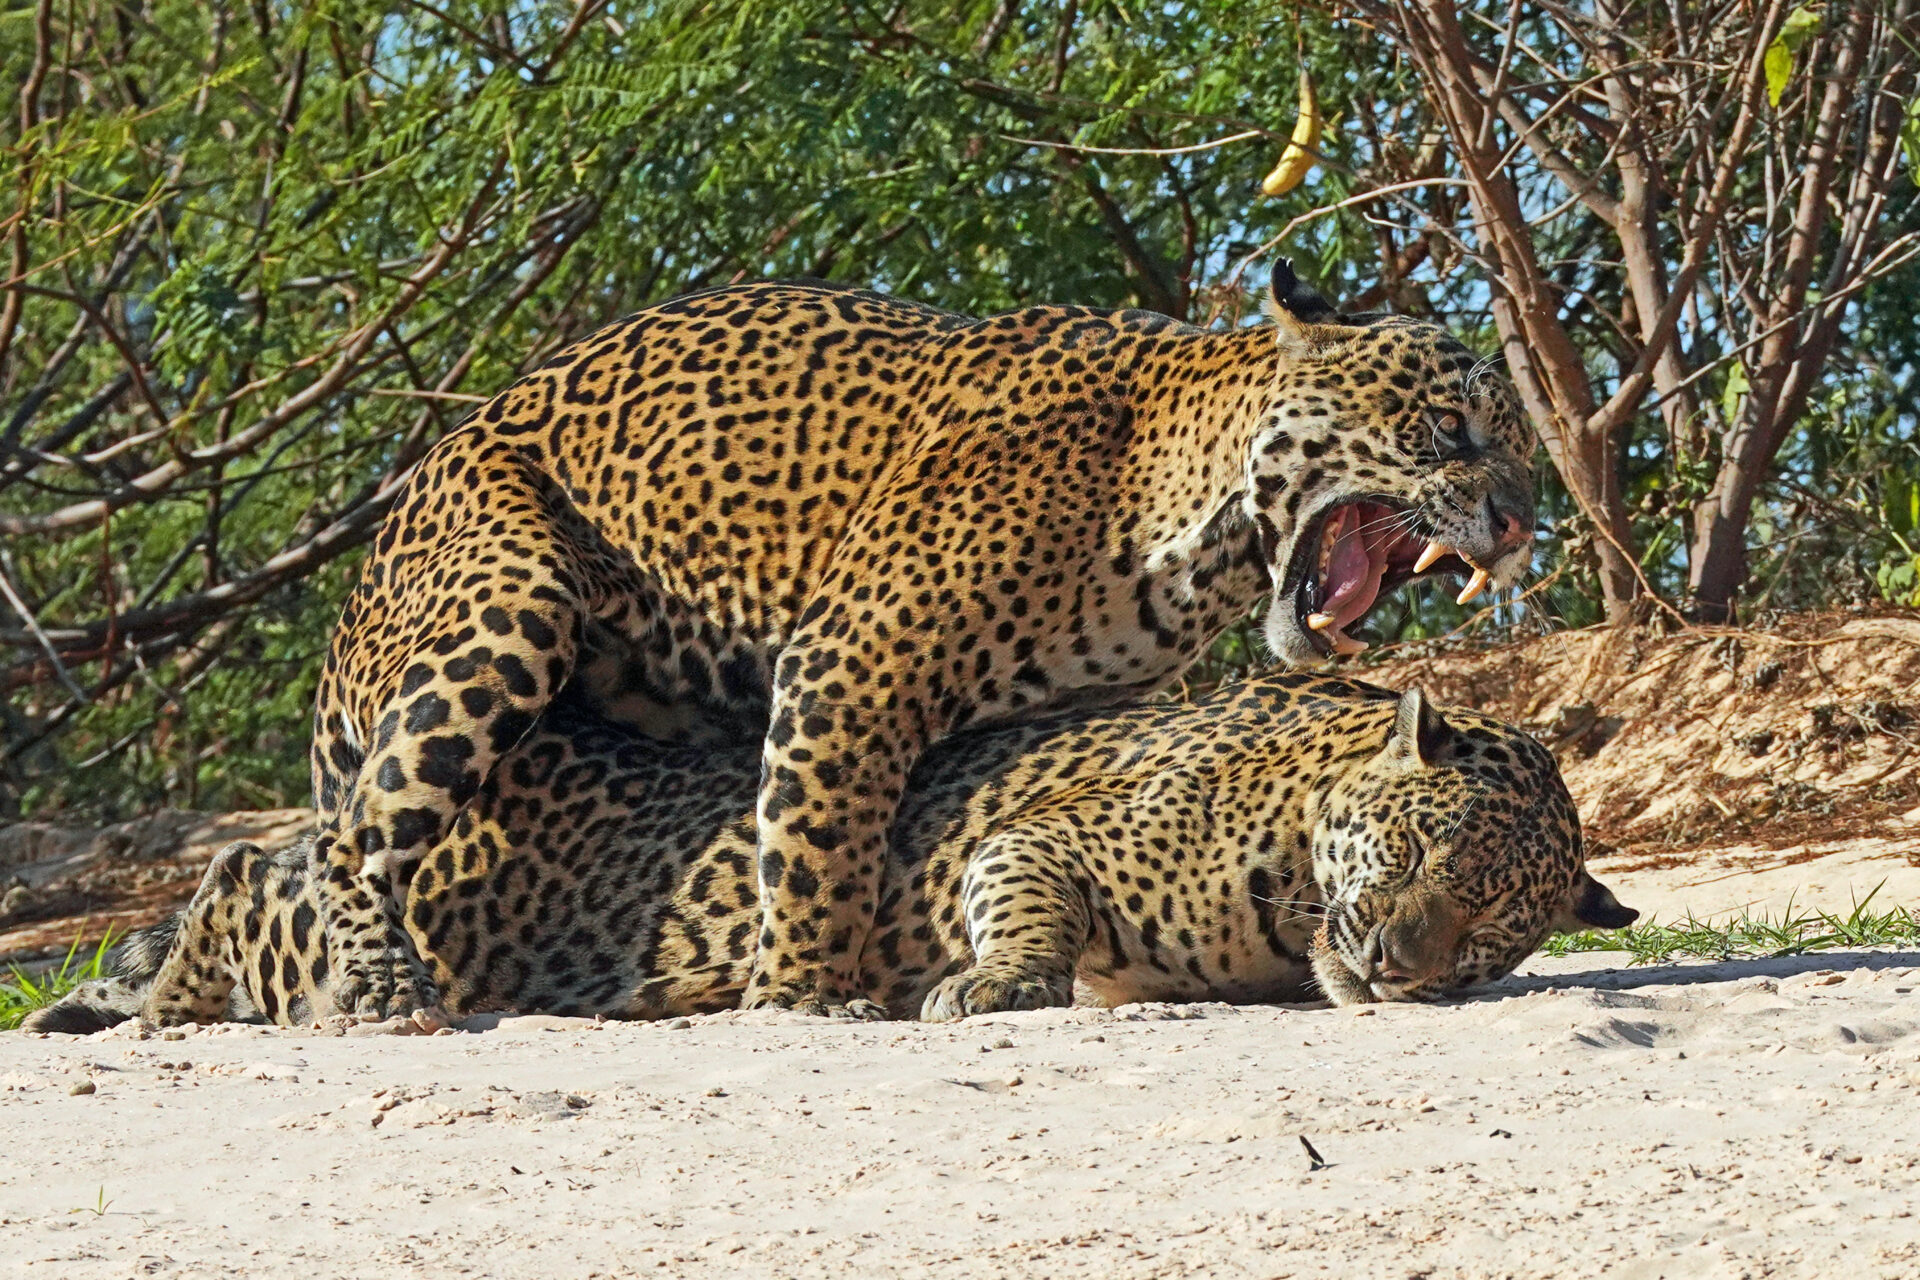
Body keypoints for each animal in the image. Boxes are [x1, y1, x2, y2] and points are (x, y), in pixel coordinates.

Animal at [304, 263, 1538, 1020]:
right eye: (1450, 429)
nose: (1521, 522)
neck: (1190, 518)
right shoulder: (852, 661)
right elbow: (820, 843)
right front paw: (802, 995)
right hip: (509, 606)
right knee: (353, 830)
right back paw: (377, 988)